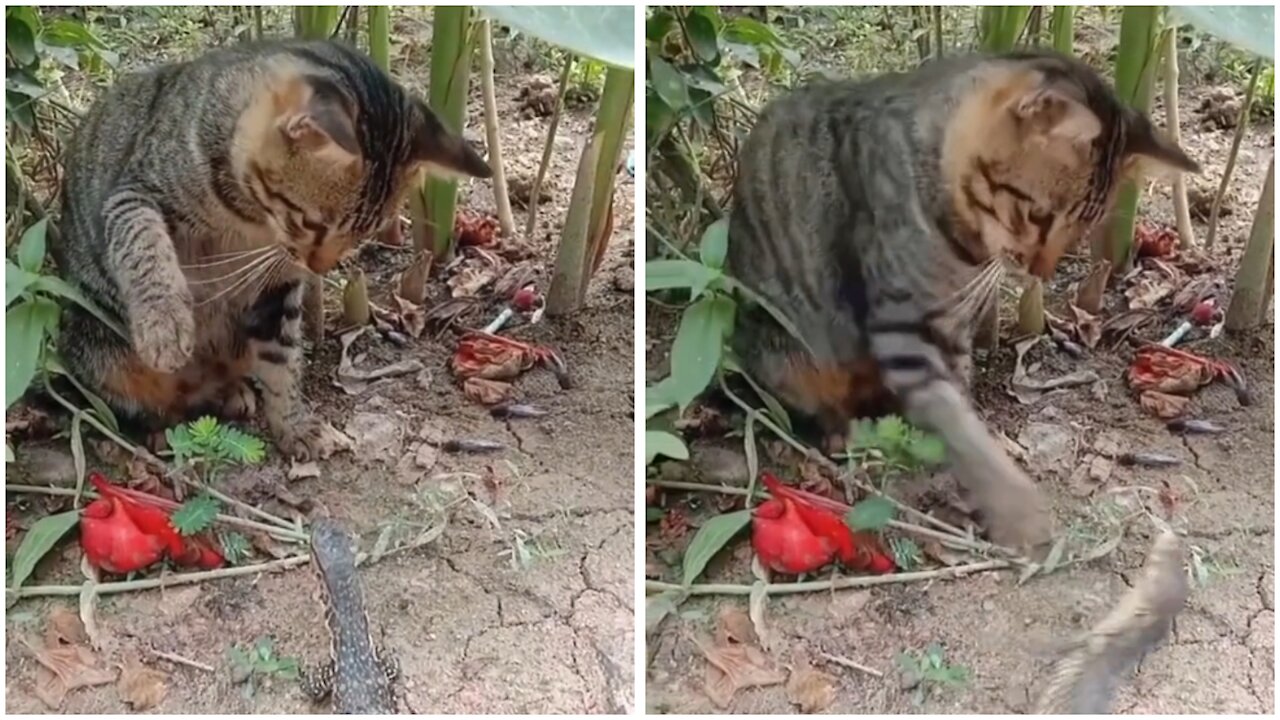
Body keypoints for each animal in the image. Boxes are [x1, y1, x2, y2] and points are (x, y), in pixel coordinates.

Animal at [52, 39, 488, 456]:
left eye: (366, 232)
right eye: (311, 223)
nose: (318, 267)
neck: (249, 218)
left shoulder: (277, 291)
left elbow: (282, 363)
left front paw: (294, 426)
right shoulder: (132, 194)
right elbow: (143, 244)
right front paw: (164, 324)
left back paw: (230, 393)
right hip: (97, 346)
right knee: (140, 403)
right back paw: (160, 427)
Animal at [732, 51, 1198, 548]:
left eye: (1082, 227)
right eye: (1039, 216)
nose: (1041, 271)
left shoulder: (953, 328)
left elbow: (960, 411)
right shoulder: (903, 329)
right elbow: (955, 422)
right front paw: (1016, 509)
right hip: (787, 353)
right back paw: (843, 430)